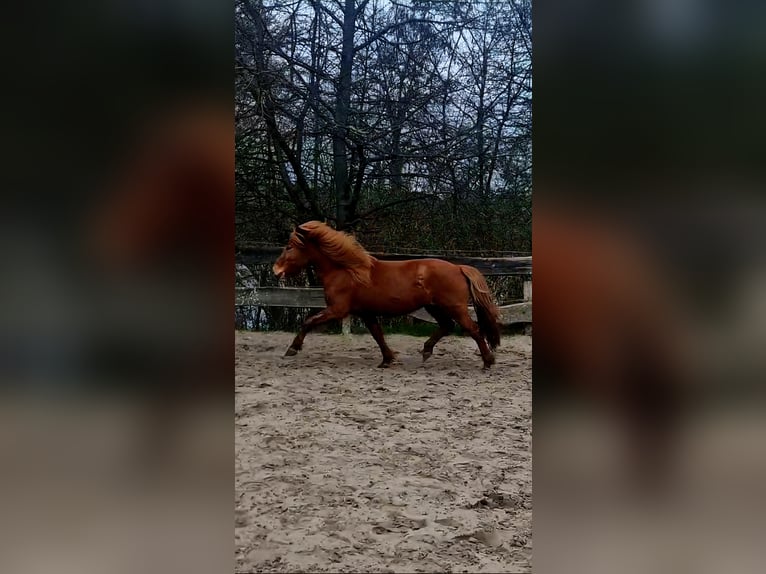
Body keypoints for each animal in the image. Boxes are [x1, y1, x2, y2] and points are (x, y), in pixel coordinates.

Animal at [272, 221, 502, 369]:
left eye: (289, 246)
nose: (276, 270)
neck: (346, 271)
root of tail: (459, 268)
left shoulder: (337, 310)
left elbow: (308, 321)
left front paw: (292, 348)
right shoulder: (366, 312)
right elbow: (378, 334)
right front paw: (387, 359)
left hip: (454, 307)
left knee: (473, 329)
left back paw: (488, 361)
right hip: (434, 306)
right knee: (447, 326)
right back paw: (426, 351)